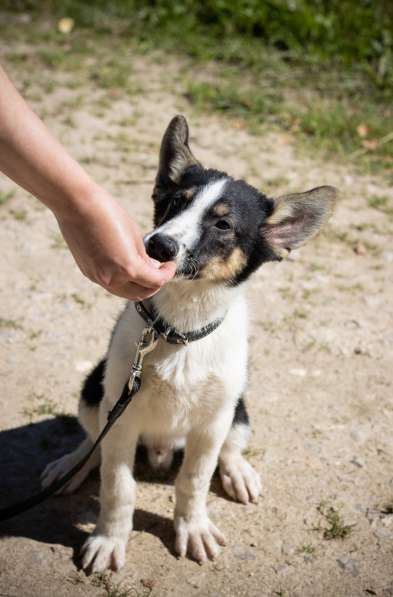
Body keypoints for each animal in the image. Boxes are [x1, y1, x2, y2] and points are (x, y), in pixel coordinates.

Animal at [41, 114, 336, 572]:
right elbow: (117, 485)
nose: (157, 245)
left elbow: (194, 479)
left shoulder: (212, 422)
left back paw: (238, 472)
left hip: (238, 408)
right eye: (175, 203)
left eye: (223, 224)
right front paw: (110, 538)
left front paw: (192, 526)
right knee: (93, 441)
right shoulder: (121, 417)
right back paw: (71, 465)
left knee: (229, 448)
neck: (179, 330)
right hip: (95, 391)